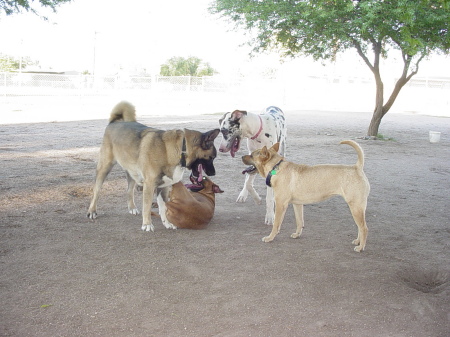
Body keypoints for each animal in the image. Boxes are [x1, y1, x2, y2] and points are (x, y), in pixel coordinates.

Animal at [86, 100, 220, 231]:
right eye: (212, 157)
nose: (214, 173)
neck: (181, 148)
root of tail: (114, 122)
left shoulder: (163, 187)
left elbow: (164, 208)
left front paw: (167, 223)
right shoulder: (149, 185)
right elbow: (147, 207)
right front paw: (147, 224)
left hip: (132, 172)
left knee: (129, 190)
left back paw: (132, 207)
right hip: (104, 168)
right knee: (96, 191)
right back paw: (92, 211)